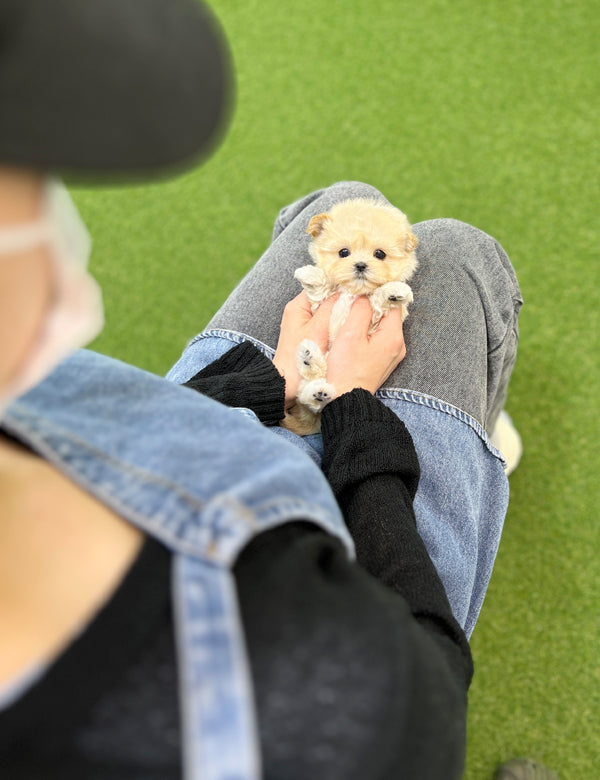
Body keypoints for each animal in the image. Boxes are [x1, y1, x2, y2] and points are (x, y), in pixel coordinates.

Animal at [282, 198, 418, 436]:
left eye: (380, 254)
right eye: (343, 252)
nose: (361, 265)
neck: (352, 291)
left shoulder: (375, 319)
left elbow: (379, 301)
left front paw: (394, 292)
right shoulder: (320, 303)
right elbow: (322, 289)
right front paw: (310, 275)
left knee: (315, 402)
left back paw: (316, 381)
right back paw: (311, 365)